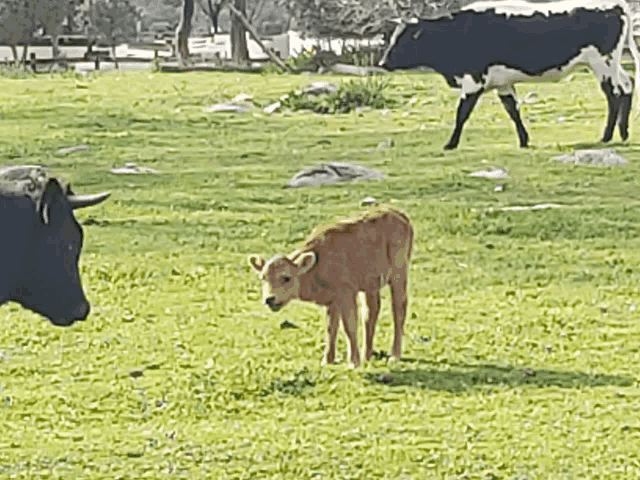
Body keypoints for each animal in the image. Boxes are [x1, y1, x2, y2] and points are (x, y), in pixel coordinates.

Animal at [248, 204, 412, 366]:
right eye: (263, 278)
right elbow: (331, 327)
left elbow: (349, 326)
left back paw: (394, 355)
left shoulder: (346, 294)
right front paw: (327, 360)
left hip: (398, 276)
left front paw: (353, 362)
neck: (319, 261)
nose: (269, 299)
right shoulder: (333, 300)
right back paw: (367, 355)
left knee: (398, 310)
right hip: (370, 286)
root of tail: (398, 213)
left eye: (286, 278)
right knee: (370, 312)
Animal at [378, 0, 640, 149]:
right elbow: (512, 110)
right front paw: (524, 140)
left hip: (602, 63)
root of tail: (615, 4)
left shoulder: (473, 80)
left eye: (404, 39)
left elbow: (462, 113)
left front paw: (451, 143)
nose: (382, 62)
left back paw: (606, 137)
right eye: (393, 37)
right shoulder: (502, 82)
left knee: (613, 95)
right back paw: (624, 133)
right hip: (611, 64)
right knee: (627, 85)